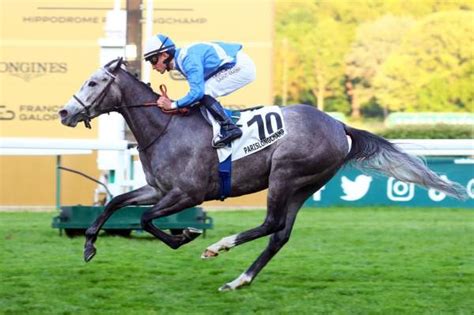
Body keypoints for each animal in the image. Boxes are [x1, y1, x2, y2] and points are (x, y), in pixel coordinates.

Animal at [58, 58, 466, 292]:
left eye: (93, 83)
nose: (64, 112)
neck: (166, 127)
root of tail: (339, 125)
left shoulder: (188, 193)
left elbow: (144, 219)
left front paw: (185, 235)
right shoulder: (158, 189)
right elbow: (117, 202)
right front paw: (89, 245)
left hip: (285, 175)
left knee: (271, 223)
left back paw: (219, 247)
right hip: (304, 186)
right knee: (280, 234)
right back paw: (240, 279)